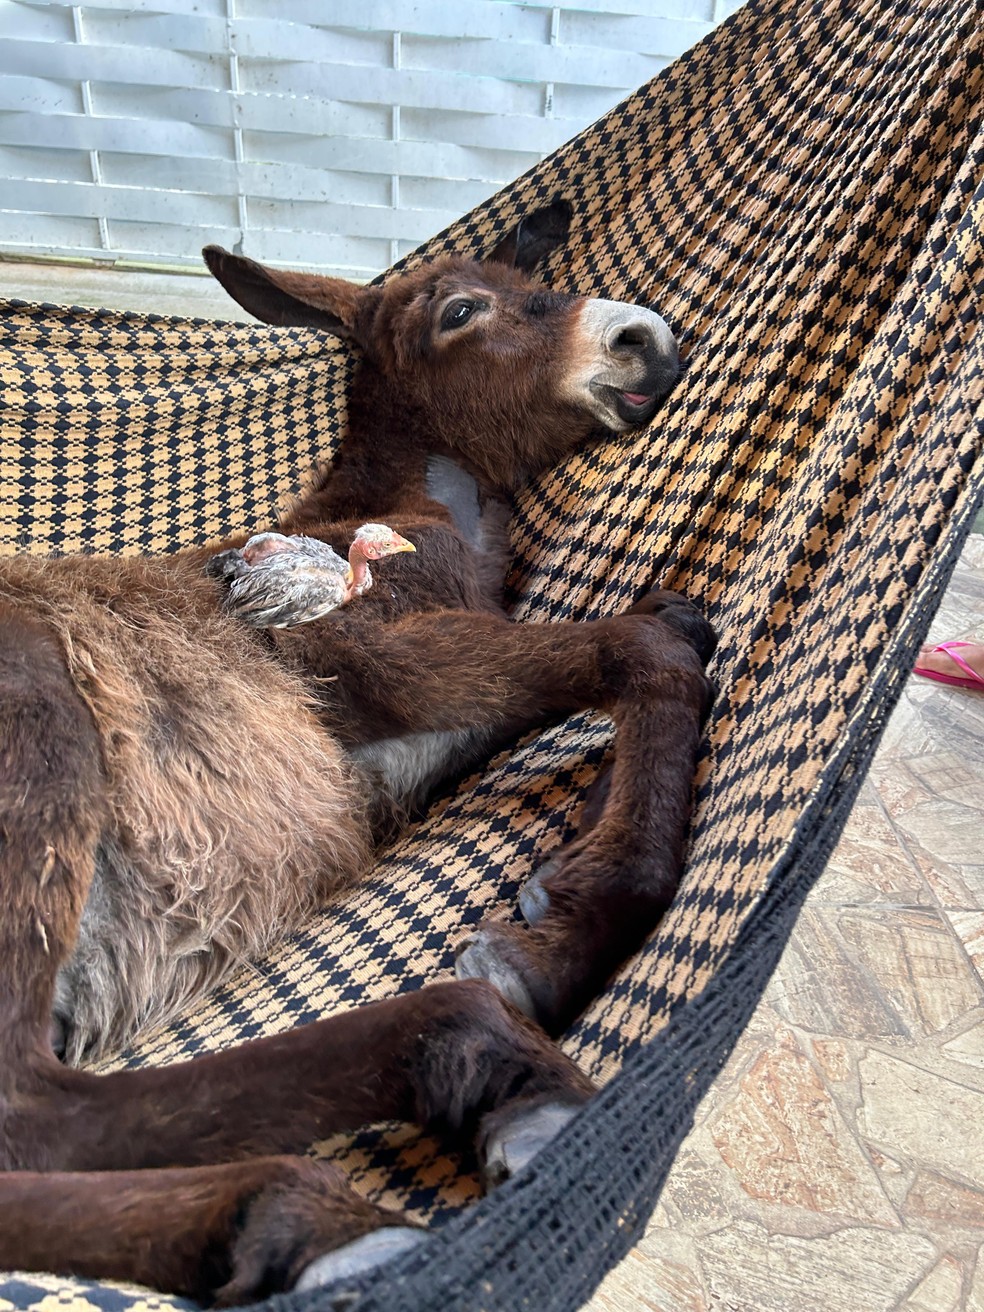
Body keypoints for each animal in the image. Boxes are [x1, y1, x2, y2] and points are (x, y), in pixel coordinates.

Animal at [0, 204, 713, 1301]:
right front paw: (555, 947)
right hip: (40, 731)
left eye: (530, 285)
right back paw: (357, 1175)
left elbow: (675, 626)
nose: (647, 337)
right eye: (463, 311)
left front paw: (566, 885)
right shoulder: (374, 658)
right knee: (35, 1111)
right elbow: (648, 652)